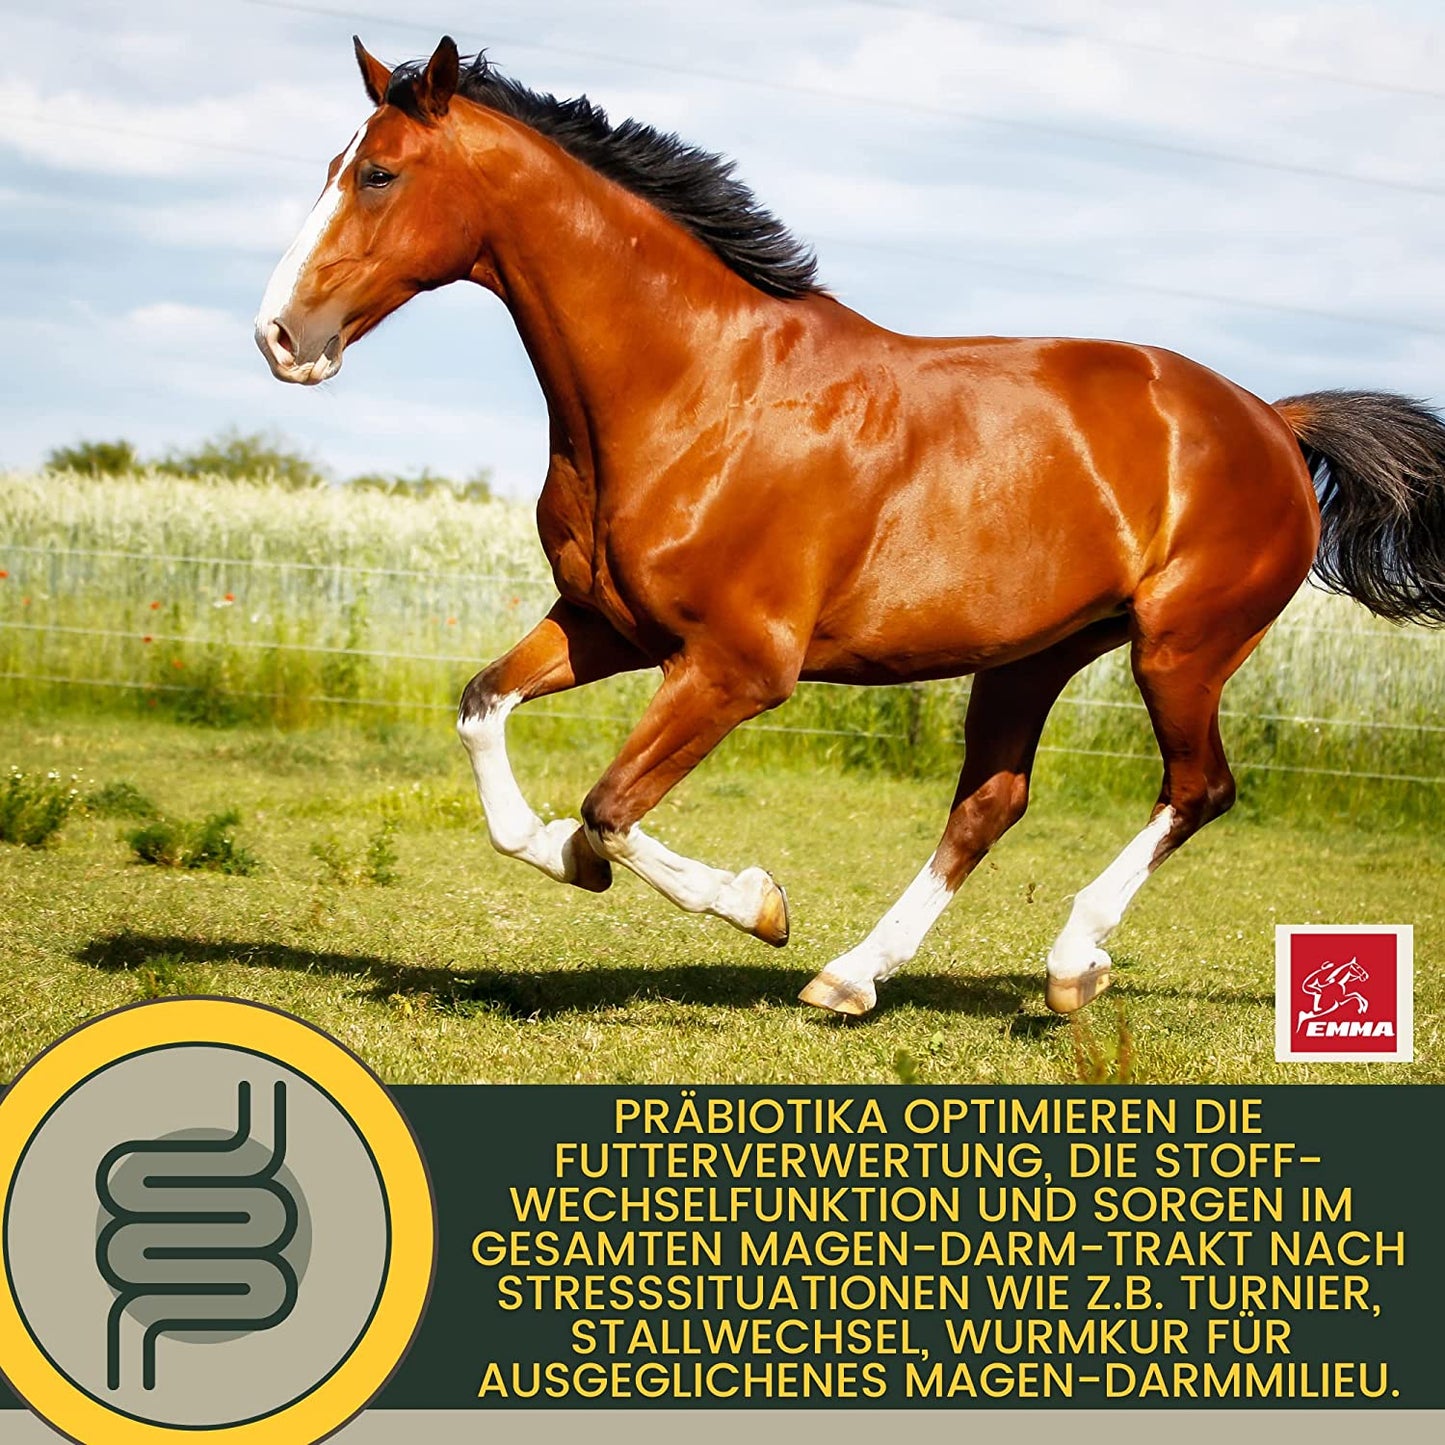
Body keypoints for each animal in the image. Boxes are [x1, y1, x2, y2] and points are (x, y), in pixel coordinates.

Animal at [256, 36, 1445, 1018]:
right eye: (331, 165)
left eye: (377, 173)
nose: (279, 335)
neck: (697, 387)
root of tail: (1272, 421)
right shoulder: (606, 626)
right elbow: (484, 716)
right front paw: (565, 855)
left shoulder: (735, 667)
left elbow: (608, 806)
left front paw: (755, 901)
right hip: (1033, 655)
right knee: (988, 804)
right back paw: (850, 977)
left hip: (1181, 647)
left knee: (1196, 788)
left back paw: (1069, 966)